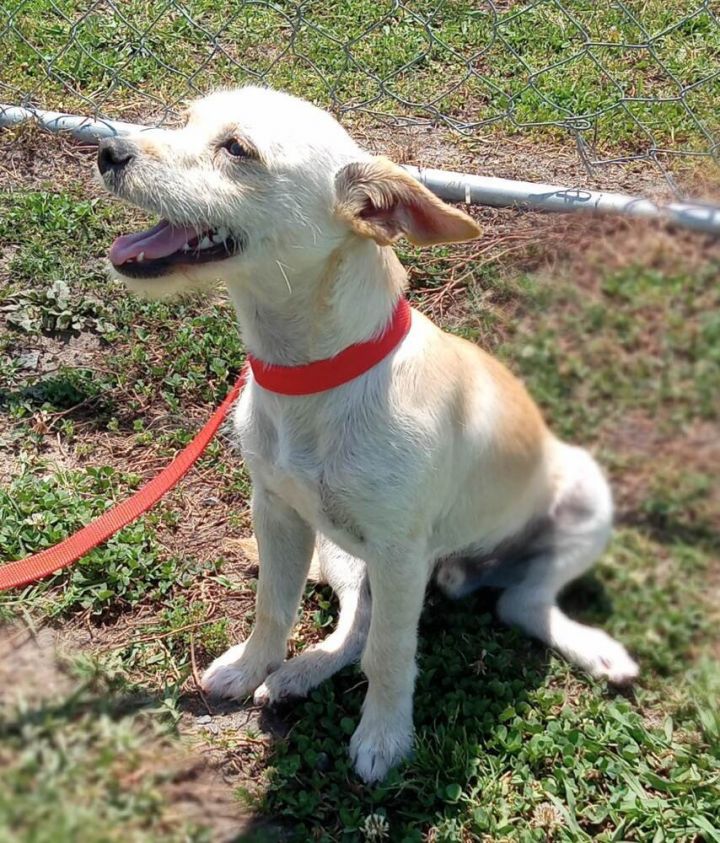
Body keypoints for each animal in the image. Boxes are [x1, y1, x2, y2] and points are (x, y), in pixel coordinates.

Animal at [98, 85, 640, 784]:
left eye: (237, 149)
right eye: (186, 119)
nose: (108, 151)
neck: (312, 376)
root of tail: (466, 571)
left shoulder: (400, 551)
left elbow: (391, 655)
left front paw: (384, 737)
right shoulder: (277, 513)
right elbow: (275, 607)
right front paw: (251, 667)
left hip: (579, 499)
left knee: (518, 603)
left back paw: (593, 648)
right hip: (343, 551)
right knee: (358, 624)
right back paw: (300, 671)